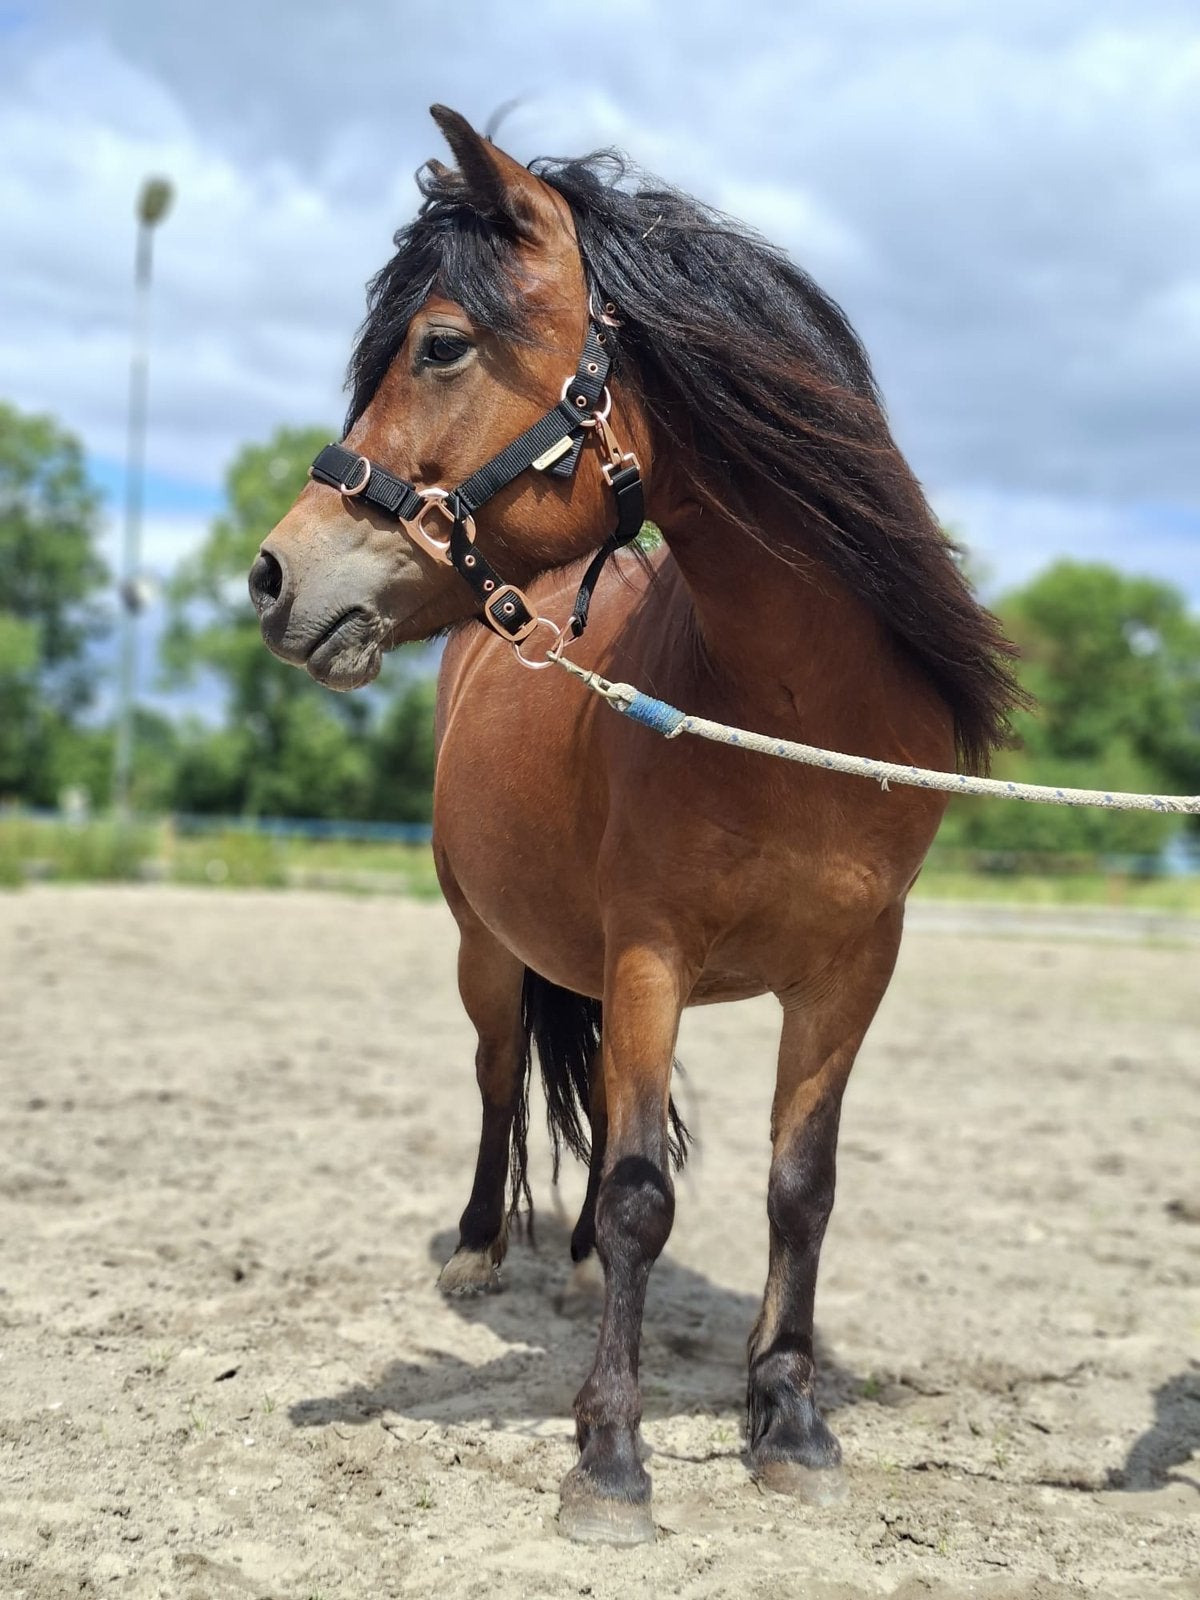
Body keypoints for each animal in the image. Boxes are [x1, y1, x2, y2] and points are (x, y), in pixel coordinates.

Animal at [249, 104, 1024, 1544]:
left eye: (441, 345)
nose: (274, 574)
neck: (788, 714)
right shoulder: (651, 954)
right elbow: (638, 1195)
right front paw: (610, 1453)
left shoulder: (851, 973)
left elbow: (797, 1187)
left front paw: (787, 1418)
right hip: (488, 950)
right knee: (502, 1076)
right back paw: (482, 1251)